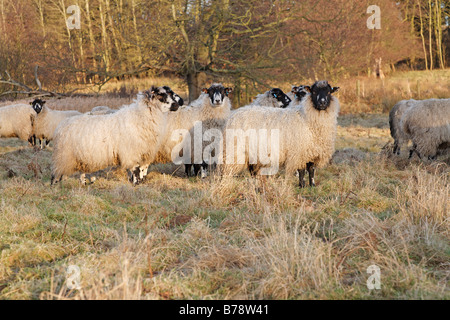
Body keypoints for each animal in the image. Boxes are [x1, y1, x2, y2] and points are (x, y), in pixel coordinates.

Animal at [49, 85, 183, 185]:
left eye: (171, 94)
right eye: (161, 95)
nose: (177, 105)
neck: (141, 117)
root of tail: (61, 125)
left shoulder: (145, 151)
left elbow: (142, 170)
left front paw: (139, 182)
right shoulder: (131, 152)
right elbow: (136, 170)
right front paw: (136, 184)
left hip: (79, 157)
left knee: (79, 171)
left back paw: (83, 183)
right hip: (63, 155)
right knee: (56, 172)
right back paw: (55, 185)